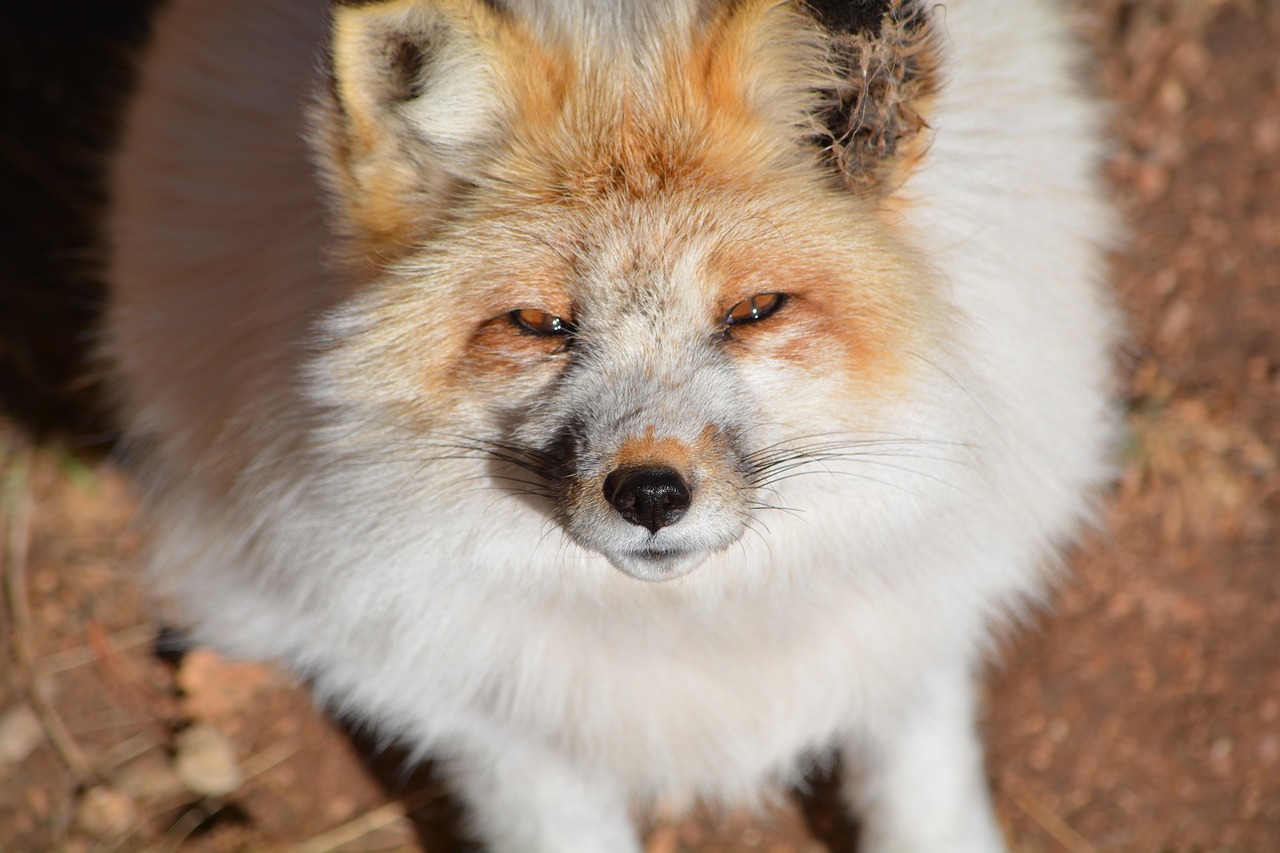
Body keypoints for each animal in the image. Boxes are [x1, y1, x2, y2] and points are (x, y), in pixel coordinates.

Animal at [105, 0, 1117, 850]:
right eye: (538, 323)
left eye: (754, 310)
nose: (652, 493)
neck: (699, 631)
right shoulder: (491, 711)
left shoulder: (919, 614)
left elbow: (925, 793)